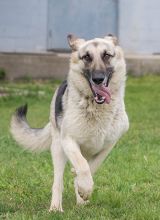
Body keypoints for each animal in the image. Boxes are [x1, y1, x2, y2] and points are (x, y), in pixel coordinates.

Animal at [10, 34, 129, 211]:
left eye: (107, 55)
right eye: (86, 57)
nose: (98, 79)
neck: (96, 108)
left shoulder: (108, 146)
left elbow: (91, 166)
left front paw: (82, 190)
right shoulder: (68, 140)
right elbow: (83, 166)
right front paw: (85, 187)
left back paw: (79, 200)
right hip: (58, 149)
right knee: (57, 182)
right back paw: (55, 208)